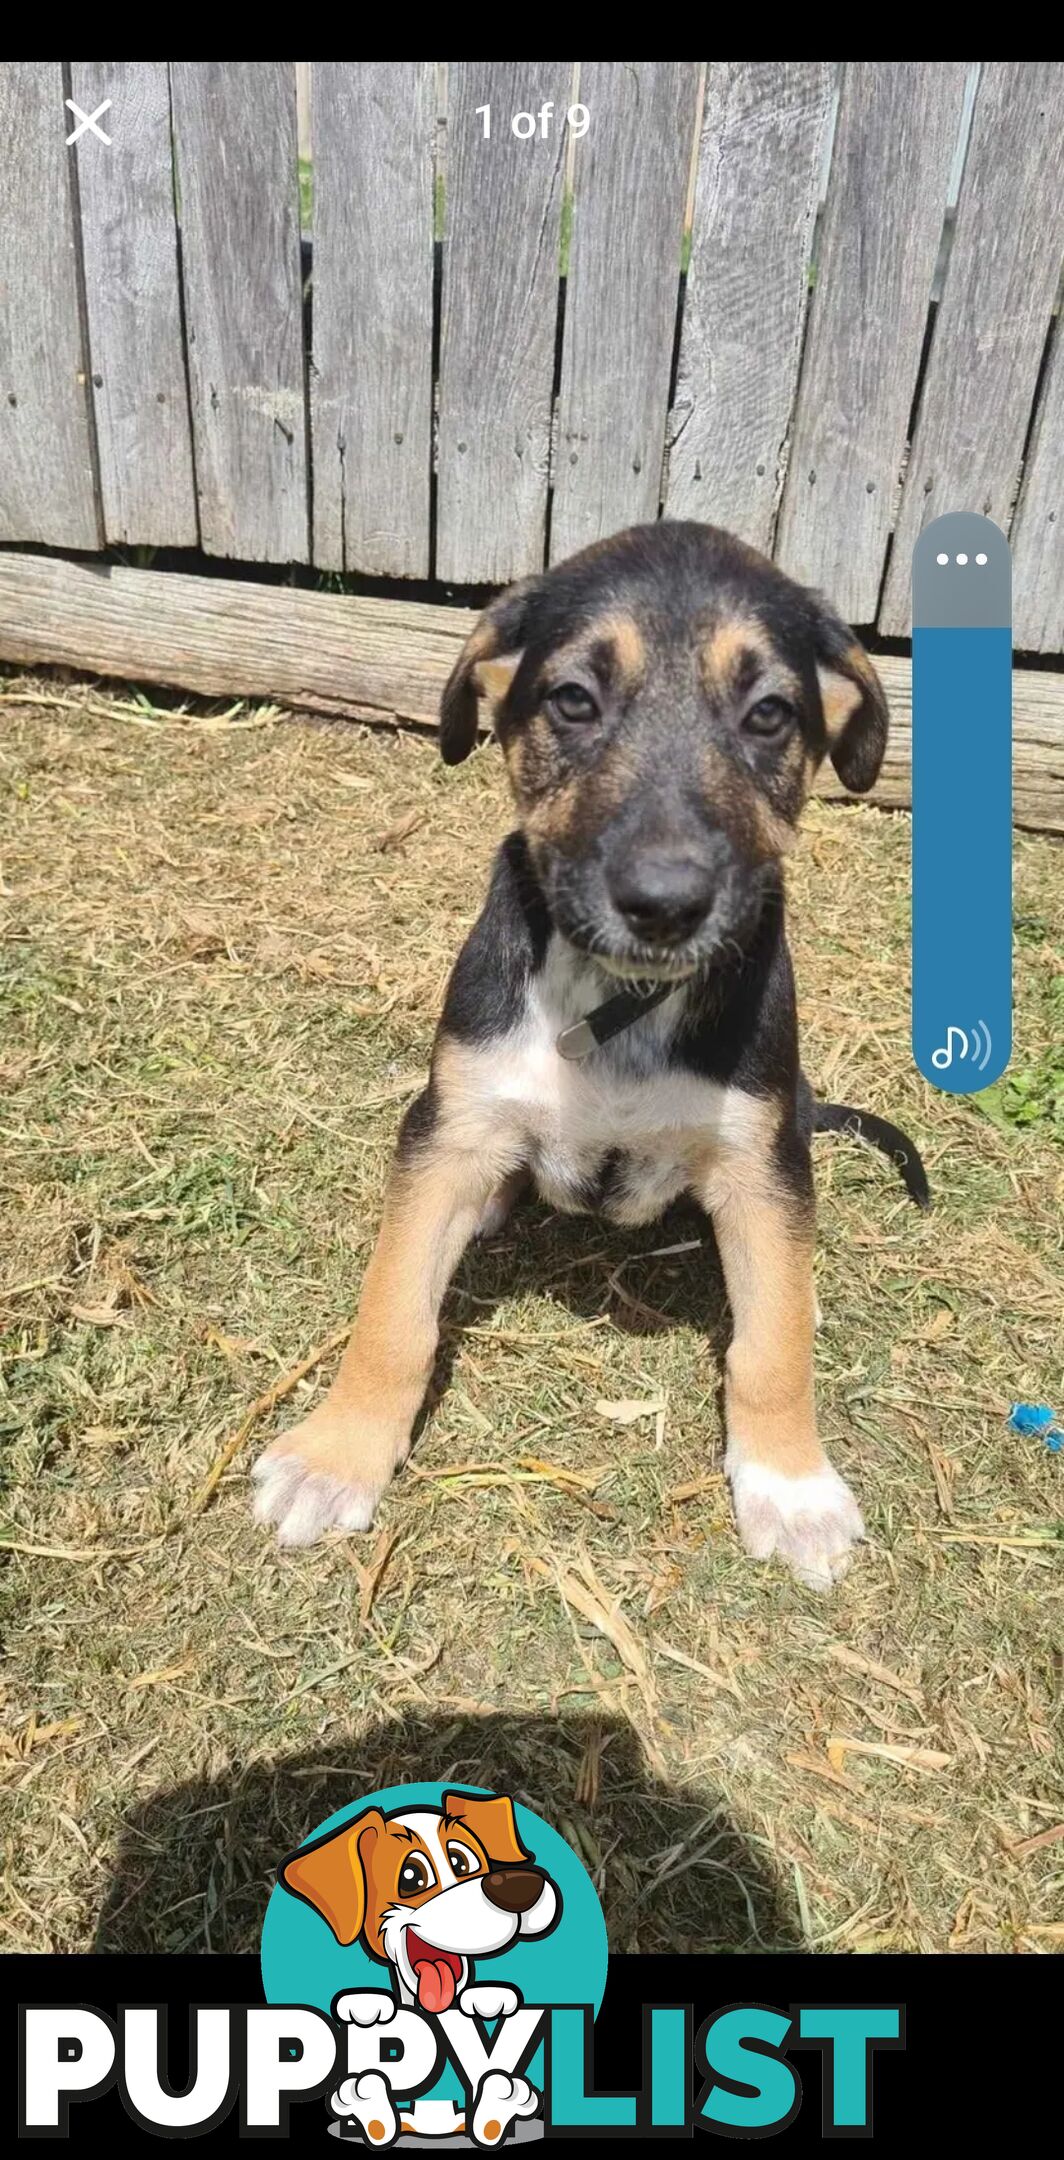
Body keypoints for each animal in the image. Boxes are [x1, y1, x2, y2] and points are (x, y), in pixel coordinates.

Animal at [252, 522, 923, 1589]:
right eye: (573, 699)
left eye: (771, 714)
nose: (664, 903)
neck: (618, 1003)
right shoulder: (448, 1123)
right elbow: (393, 1312)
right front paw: (336, 1453)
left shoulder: (762, 1156)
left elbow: (770, 1347)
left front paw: (790, 1484)